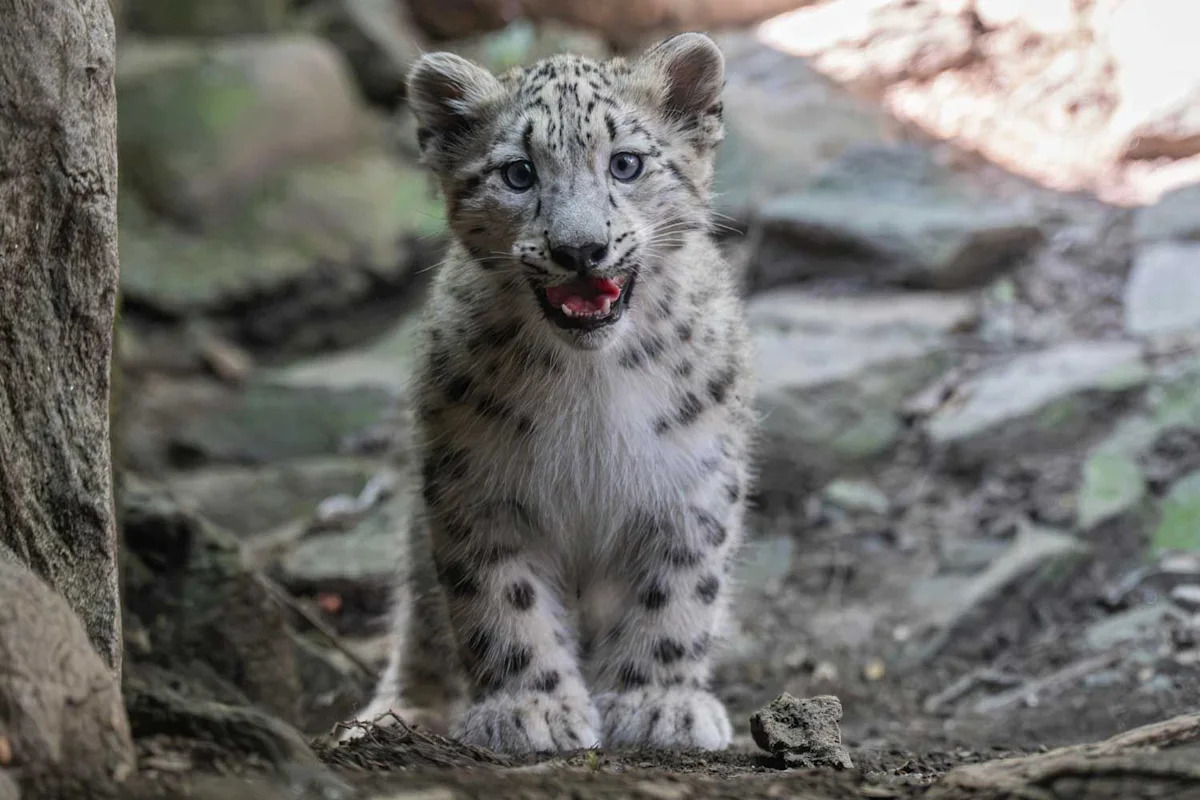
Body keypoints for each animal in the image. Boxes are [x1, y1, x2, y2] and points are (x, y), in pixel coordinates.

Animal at [344, 31, 755, 755]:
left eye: (625, 163)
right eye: (518, 173)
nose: (581, 249)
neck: (592, 388)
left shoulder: (692, 480)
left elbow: (678, 594)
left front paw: (658, 702)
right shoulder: (478, 487)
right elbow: (501, 601)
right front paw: (531, 709)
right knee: (419, 616)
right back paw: (400, 712)